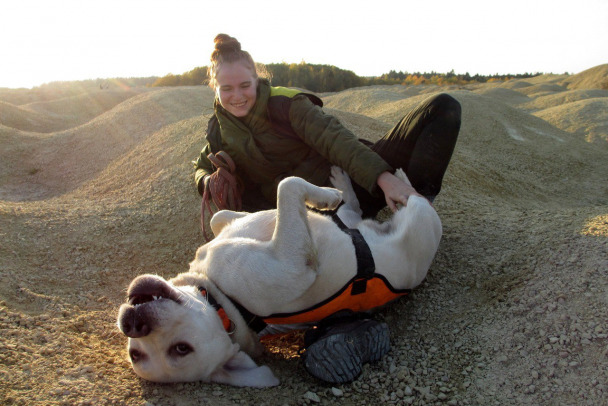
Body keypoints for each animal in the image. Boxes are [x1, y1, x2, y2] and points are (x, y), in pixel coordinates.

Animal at [117, 167, 442, 386]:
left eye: (134, 354)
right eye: (182, 348)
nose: (133, 324)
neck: (221, 300)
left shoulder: (231, 224)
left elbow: (221, 215)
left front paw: (326, 196)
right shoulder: (293, 266)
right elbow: (287, 185)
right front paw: (326, 197)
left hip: (363, 218)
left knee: (354, 210)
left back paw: (343, 184)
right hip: (421, 218)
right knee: (412, 198)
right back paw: (395, 184)